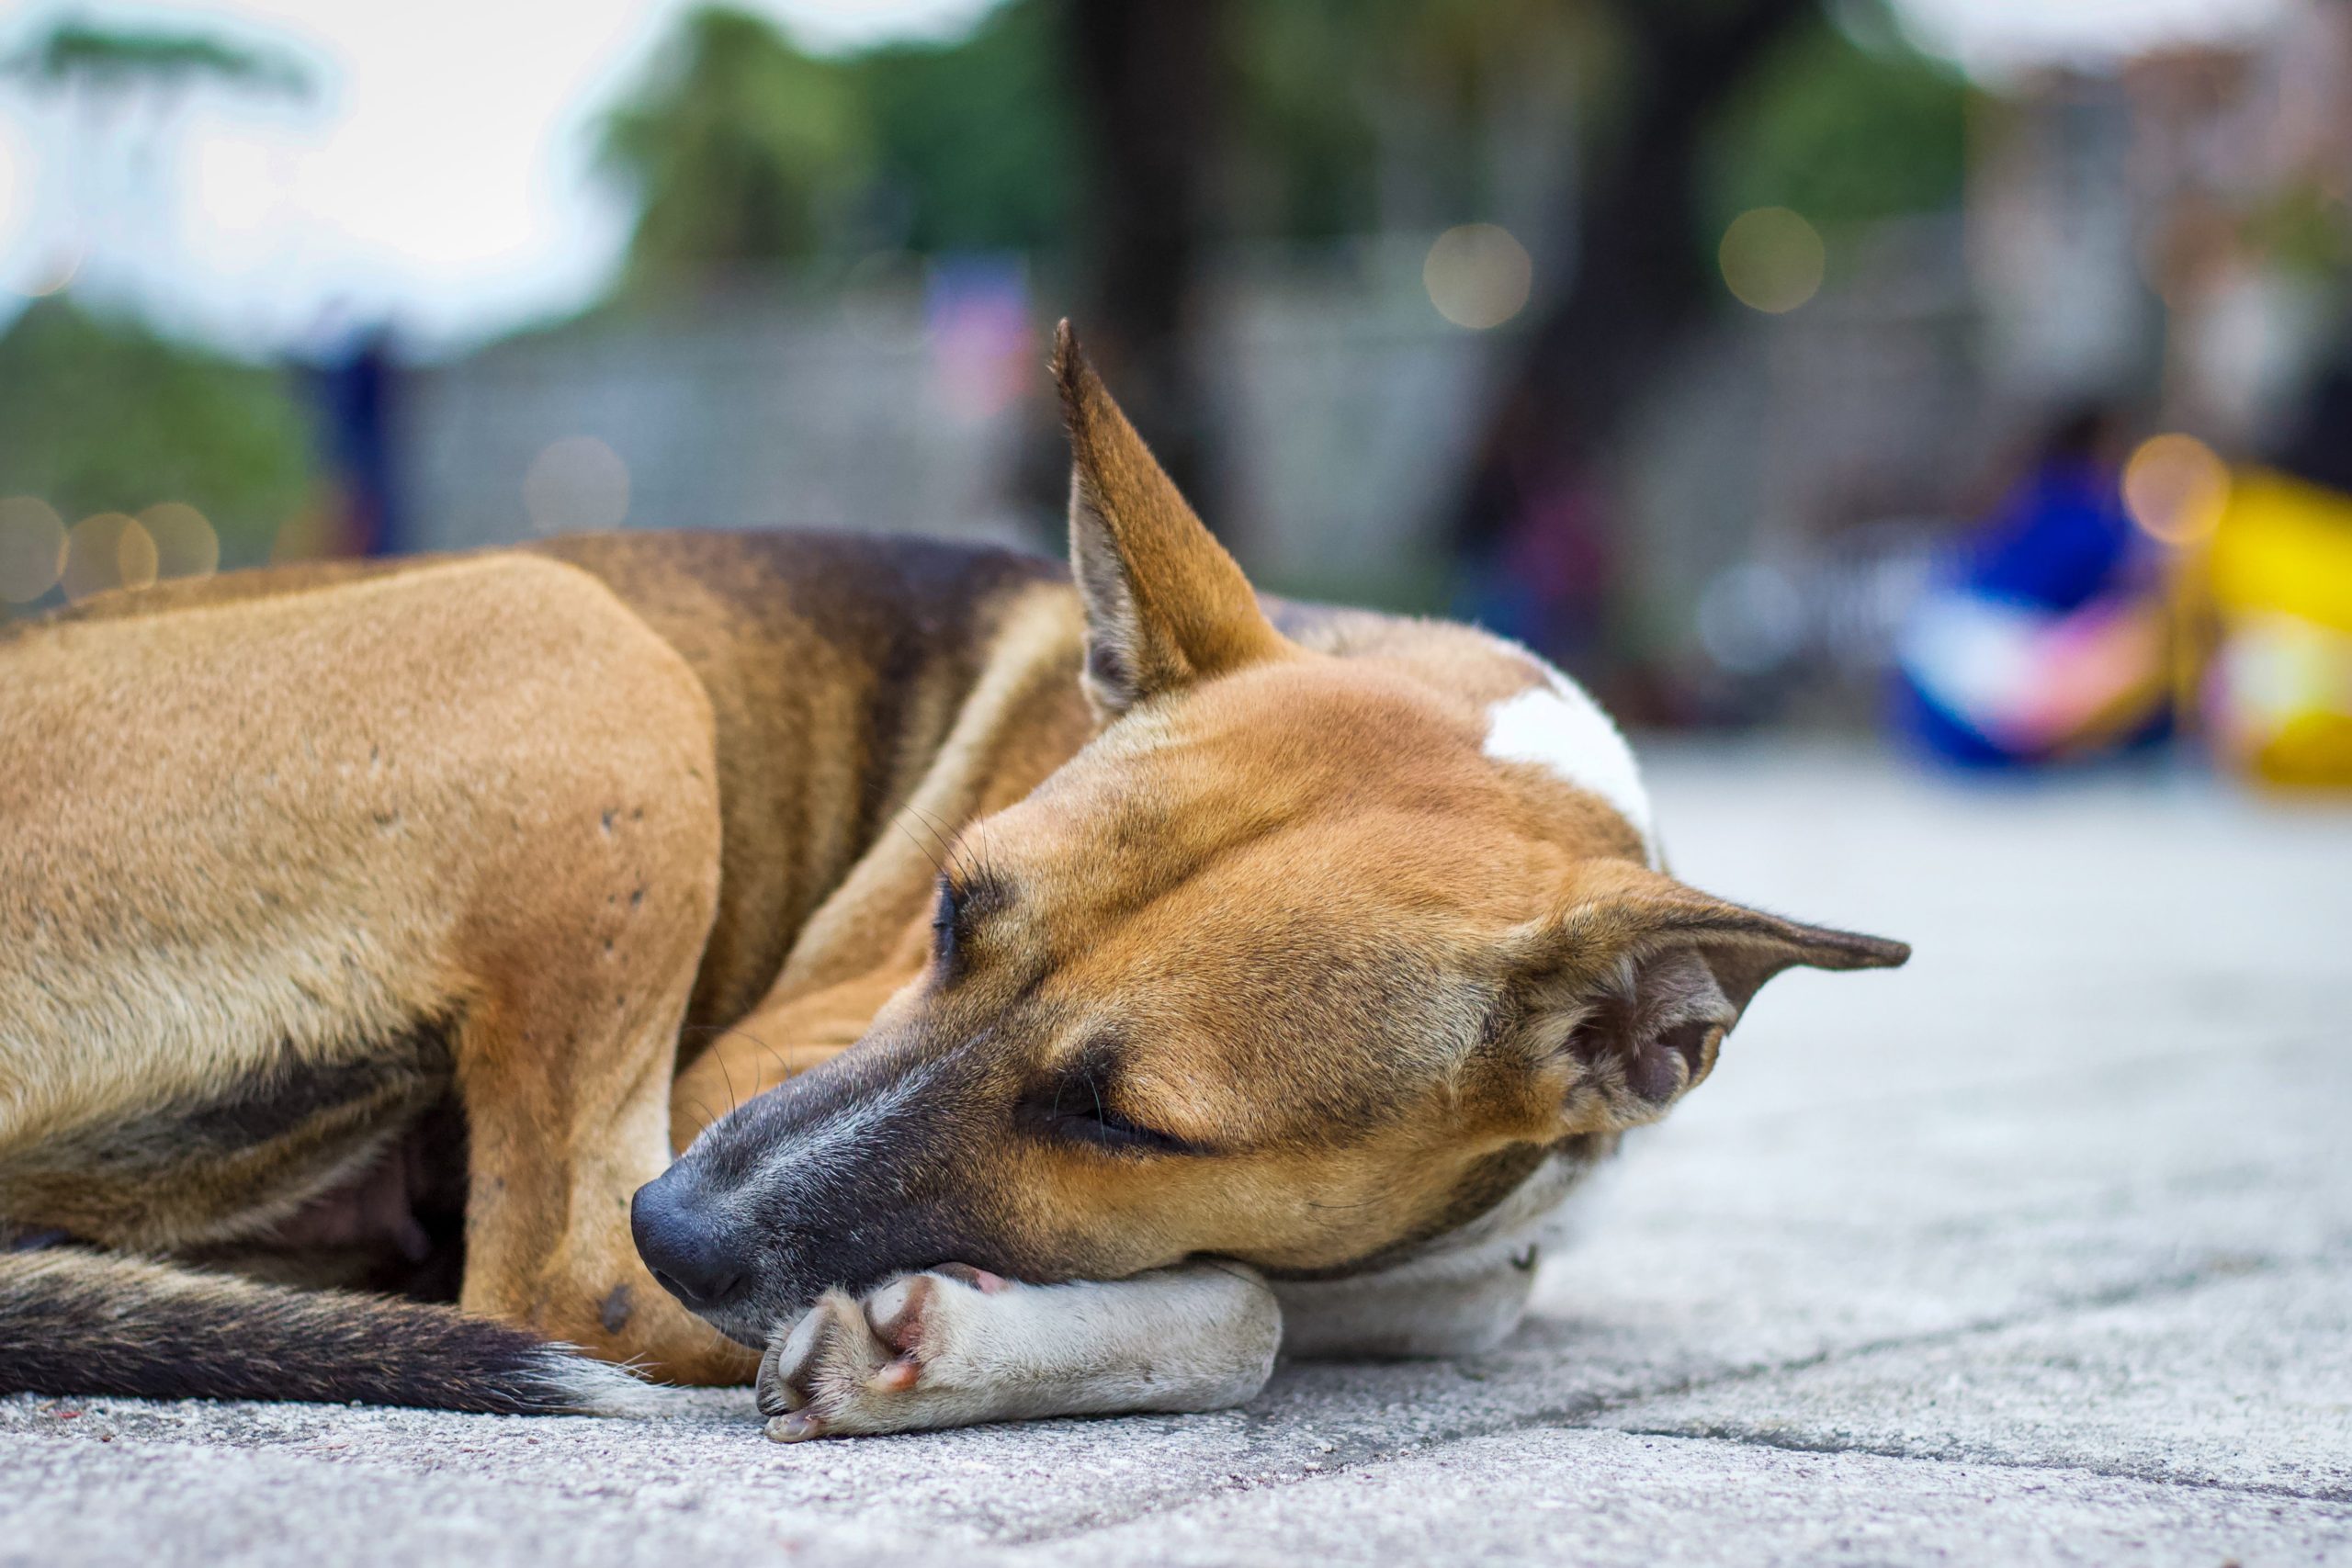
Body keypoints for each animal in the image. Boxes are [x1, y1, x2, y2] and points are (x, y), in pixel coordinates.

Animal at [0, 329, 1900, 1438]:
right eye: (952, 912)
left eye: (1129, 1122)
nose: (685, 1221)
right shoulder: (751, 1064)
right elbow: (1244, 1316)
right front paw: (942, 1341)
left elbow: (1338, 1288)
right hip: (582, 646)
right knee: (562, 1286)